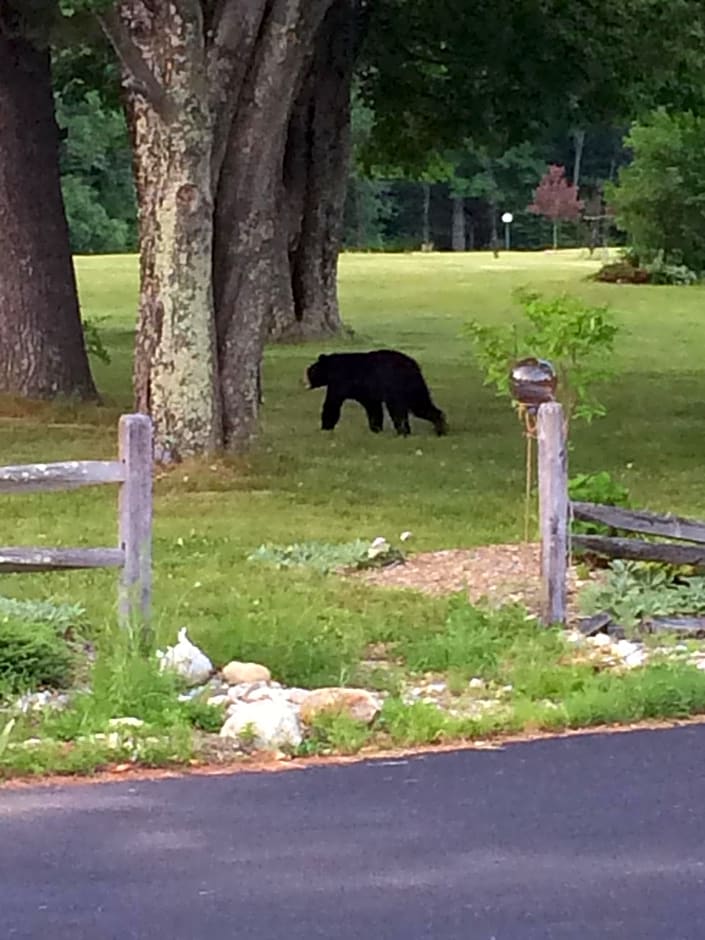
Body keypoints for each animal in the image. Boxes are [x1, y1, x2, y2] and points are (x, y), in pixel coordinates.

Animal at [304, 348, 446, 436]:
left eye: (310, 372)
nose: (305, 380)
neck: (330, 369)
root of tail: (413, 366)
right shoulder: (367, 393)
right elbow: (373, 408)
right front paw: (376, 429)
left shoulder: (340, 382)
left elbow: (332, 404)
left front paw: (325, 427)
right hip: (415, 387)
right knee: (421, 405)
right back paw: (440, 428)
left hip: (396, 386)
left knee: (399, 409)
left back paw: (403, 431)